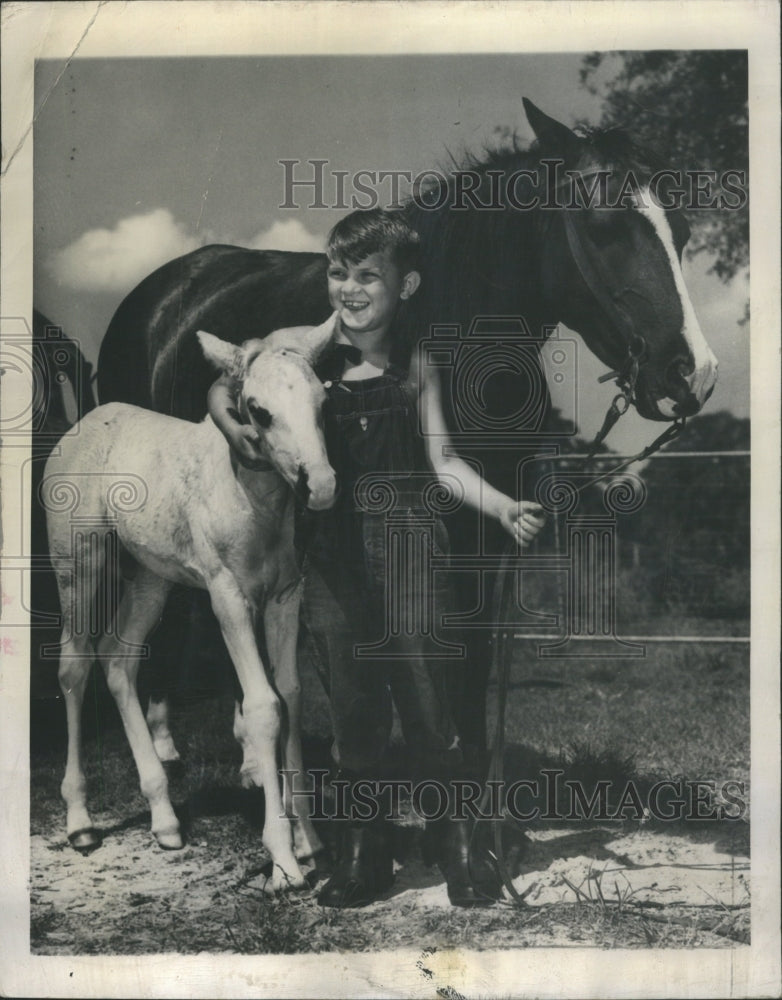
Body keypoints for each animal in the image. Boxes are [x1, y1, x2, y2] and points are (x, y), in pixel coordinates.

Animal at [43, 314, 336, 892]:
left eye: (321, 399)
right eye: (259, 410)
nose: (321, 486)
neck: (254, 503)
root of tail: (79, 428)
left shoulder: (285, 597)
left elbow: (290, 696)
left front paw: (309, 842)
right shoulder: (228, 597)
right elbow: (264, 706)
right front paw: (282, 858)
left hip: (151, 578)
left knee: (118, 659)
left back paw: (164, 818)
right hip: (79, 564)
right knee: (74, 667)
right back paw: (81, 821)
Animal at [96, 101, 716, 756]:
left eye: (682, 231)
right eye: (603, 227)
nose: (692, 375)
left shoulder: (485, 531)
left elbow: (470, 667)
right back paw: (165, 740)